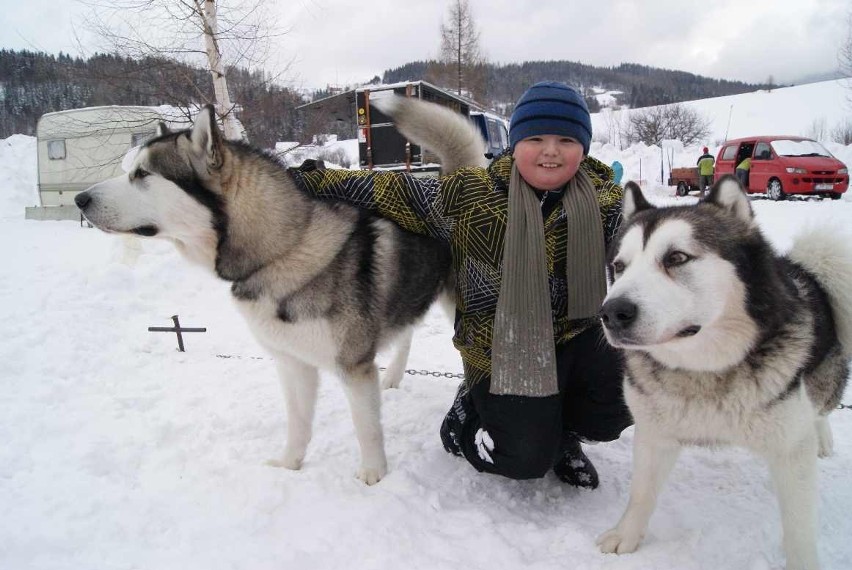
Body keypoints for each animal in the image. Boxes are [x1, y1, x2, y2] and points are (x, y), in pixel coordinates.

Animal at [75, 100, 486, 482]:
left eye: (142, 174)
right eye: (131, 169)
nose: (80, 199)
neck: (282, 250)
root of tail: (456, 182)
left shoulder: (352, 367)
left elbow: (366, 428)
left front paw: (373, 476)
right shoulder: (292, 363)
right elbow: (299, 422)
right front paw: (290, 465)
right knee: (406, 332)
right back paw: (393, 377)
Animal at [600, 175, 852, 564]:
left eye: (676, 257)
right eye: (620, 265)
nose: (612, 313)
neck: (704, 371)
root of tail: (807, 271)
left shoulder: (791, 450)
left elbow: (799, 529)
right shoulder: (654, 433)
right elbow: (641, 492)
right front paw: (626, 534)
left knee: (820, 407)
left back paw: (822, 436)